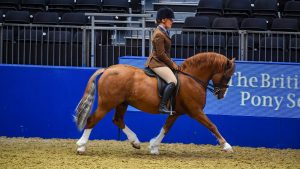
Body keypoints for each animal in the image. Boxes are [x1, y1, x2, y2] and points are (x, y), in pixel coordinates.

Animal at [74, 51, 236, 154]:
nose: (221, 95)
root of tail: (108, 69)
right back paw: (81, 146)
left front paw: (154, 146)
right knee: (92, 119)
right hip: (107, 103)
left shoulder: (175, 113)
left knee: (118, 120)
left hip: (122, 103)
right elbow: (212, 126)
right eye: (227, 76)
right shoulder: (196, 111)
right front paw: (227, 146)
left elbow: (165, 128)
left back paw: (135, 142)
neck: (192, 79)